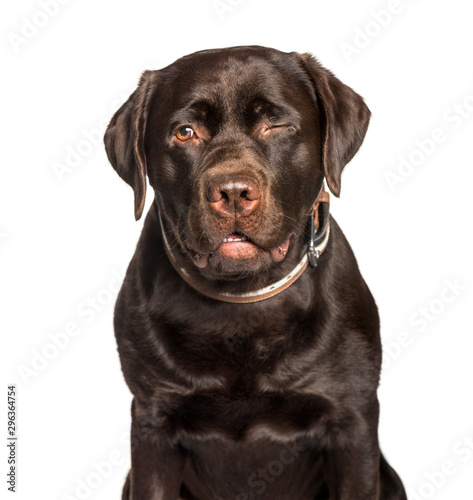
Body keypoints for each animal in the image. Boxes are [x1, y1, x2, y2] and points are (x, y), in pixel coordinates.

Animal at [105, 45, 408, 498]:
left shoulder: (351, 420)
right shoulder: (152, 423)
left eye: (276, 125)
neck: (242, 301)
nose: (232, 191)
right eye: (185, 132)